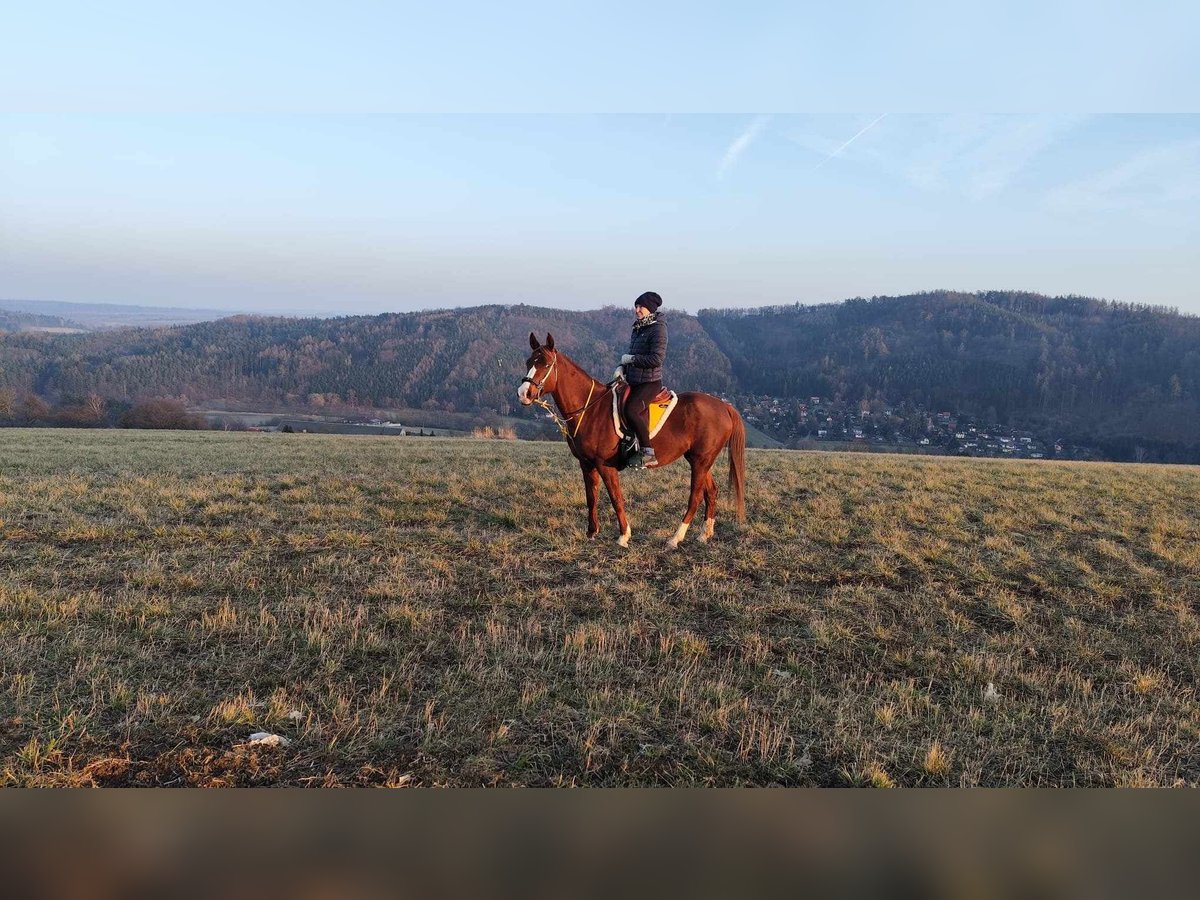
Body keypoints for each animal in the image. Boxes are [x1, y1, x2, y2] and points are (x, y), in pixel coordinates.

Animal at [518, 333, 744, 549]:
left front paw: (623, 536)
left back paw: (675, 538)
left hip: (700, 461)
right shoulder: (586, 464)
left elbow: (616, 498)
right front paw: (591, 533)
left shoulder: (604, 465)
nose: (523, 394)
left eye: (546, 364)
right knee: (711, 491)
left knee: (695, 497)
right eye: (529, 362)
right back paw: (705, 534)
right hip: (699, 460)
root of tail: (724, 406)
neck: (591, 409)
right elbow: (591, 497)